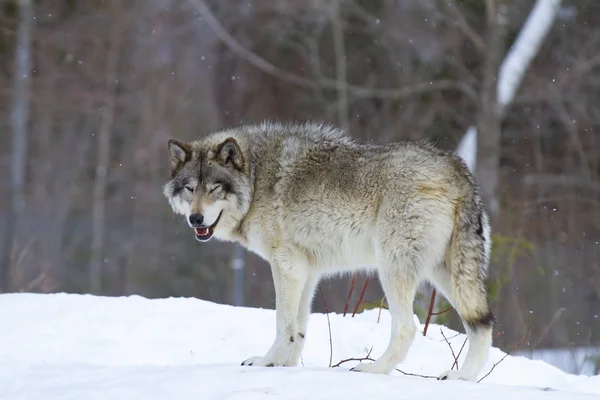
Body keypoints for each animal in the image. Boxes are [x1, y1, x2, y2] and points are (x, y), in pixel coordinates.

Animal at [163, 121, 492, 382]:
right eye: (190, 189)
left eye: (214, 188)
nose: (196, 219)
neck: (256, 179)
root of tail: (457, 168)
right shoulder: (305, 271)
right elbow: (299, 328)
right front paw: (285, 367)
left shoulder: (285, 266)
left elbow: (283, 324)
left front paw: (267, 362)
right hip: (447, 273)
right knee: (482, 323)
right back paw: (463, 378)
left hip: (392, 269)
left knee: (407, 328)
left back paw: (372, 370)